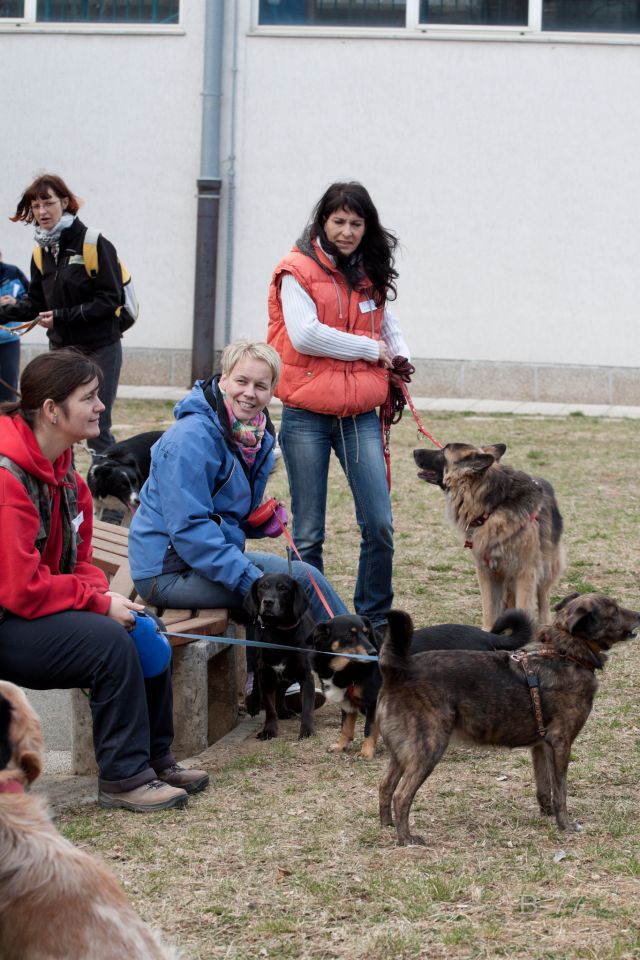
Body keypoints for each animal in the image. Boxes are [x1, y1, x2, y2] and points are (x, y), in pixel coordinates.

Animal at [244, 572, 316, 740]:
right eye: (262, 586)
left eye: (283, 588)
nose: (268, 602)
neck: (279, 632)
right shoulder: (266, 675)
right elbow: (270, 709)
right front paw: (268, 730)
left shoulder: (306, 676)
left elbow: (307, 708)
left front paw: (307, 730)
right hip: (260, 666)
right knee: (257, 683)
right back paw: (254, 704)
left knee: (281, 690)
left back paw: (283, 711)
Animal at [312, 612, 532, 760]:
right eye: (349, 635)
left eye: (367, 634)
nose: (373, 651)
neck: (345, 667)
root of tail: (486, 635)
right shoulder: (348, 705)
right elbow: (346, 728)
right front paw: (340, 746)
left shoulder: (374, 703)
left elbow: (368, 730)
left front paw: (366, 753)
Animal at [412, 442, 564, 632]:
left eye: (443, 451)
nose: (414, 451)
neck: (493, 506)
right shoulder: (487, 572)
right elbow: (489, 610)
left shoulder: (525, 573)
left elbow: (524, 606)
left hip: (546, 568)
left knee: (543, 597)